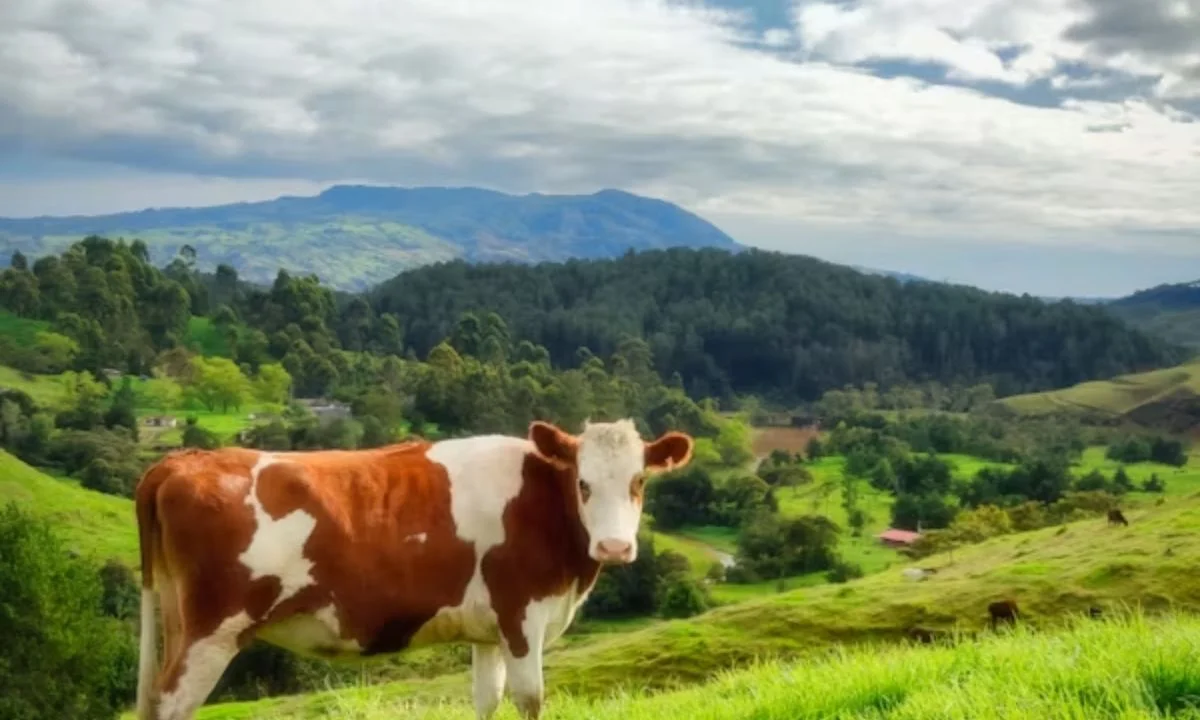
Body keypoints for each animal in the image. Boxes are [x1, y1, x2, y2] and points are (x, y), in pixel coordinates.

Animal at [133, 419, 695, 720]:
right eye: (583, 482)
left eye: (639, 481)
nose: (615, 546)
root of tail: (183, 460)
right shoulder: (522, 618)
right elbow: (530, 700)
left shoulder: (489, 631)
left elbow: (486, 702)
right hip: (211, 631)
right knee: (172, 705)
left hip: (177, 618)